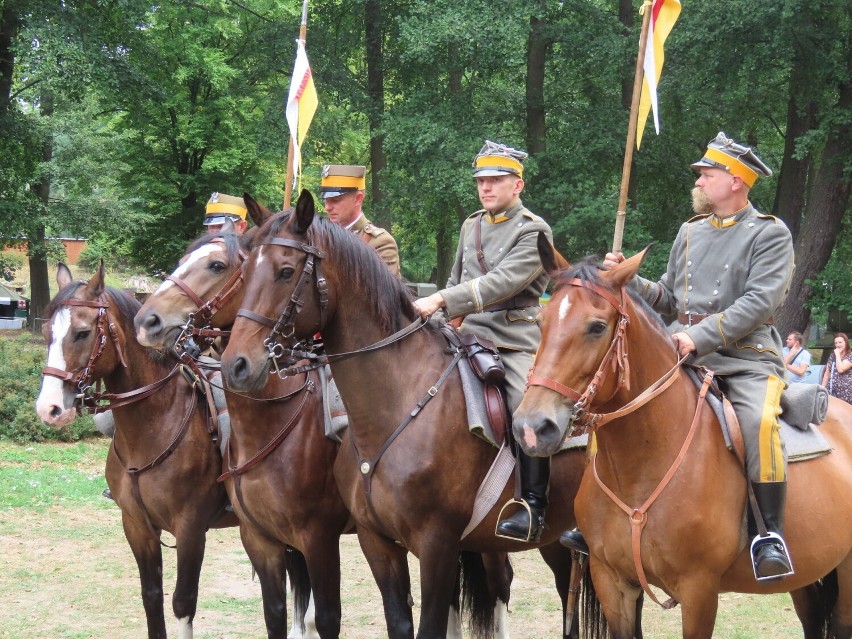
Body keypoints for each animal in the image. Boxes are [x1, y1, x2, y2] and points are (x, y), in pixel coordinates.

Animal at [35, 262, 253, 639]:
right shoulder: (136, 526)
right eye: (48, 331)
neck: (154, 426)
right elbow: (151, 596)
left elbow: (183, 603)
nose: (49, 409)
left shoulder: (191, 529)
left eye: (81, 333)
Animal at [510, 241, 852, 639]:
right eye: (540, 322)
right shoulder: (612, 581)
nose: (532, 427)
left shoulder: (698, 590)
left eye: (597, 327)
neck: (641, 468)